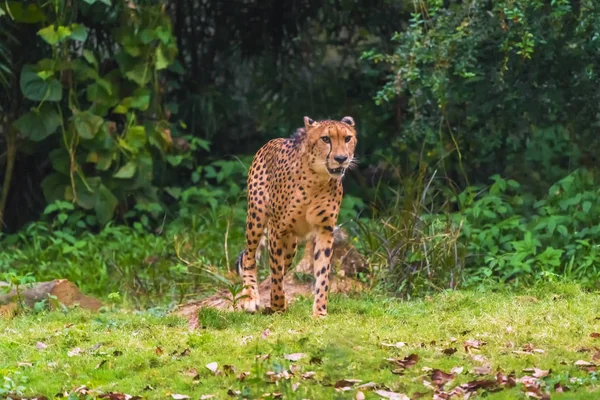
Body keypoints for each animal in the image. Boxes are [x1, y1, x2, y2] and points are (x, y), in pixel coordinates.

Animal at [234, 117, 356, 318]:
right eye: (325, 139)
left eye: (347, 138)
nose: (341, 159)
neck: (317, 179)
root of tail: (272, 141)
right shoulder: (277, 230)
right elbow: (276, 272)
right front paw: (277, 306)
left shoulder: (325, 229)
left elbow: (322, 273)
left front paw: (320, 312)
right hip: (257, 217)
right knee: (249, 257)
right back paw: (250, 298)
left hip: (291, 244)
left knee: (283, 266)